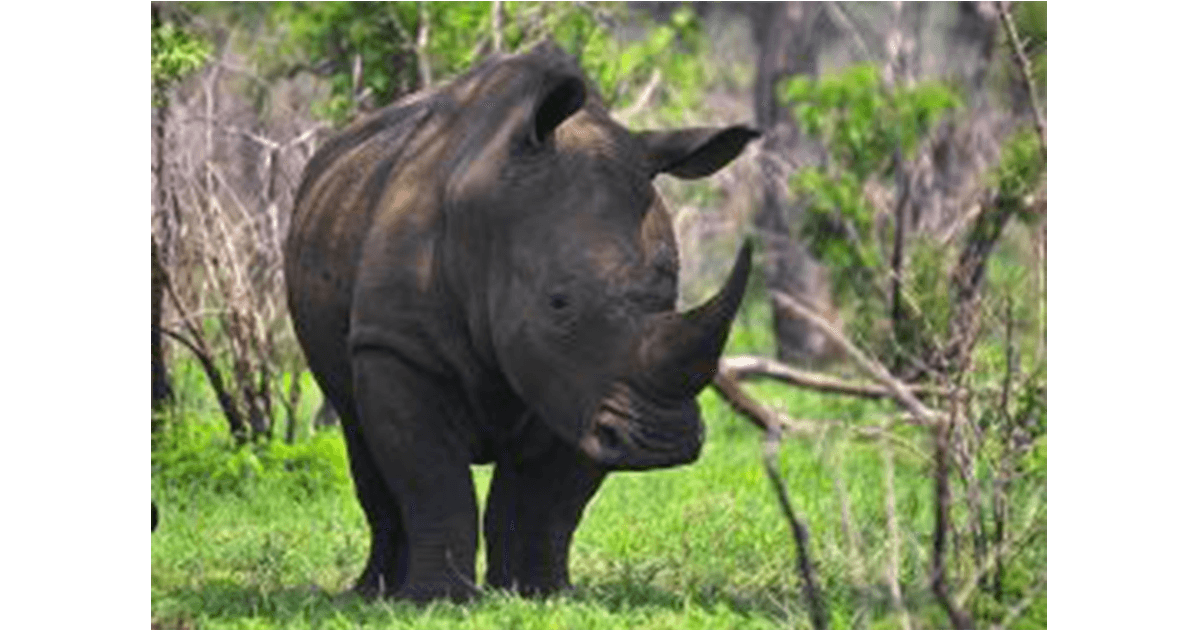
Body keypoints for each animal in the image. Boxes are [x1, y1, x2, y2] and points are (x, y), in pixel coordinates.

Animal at [285, 42, 758, 602]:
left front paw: (537, 593)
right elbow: (432, 480)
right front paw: (437, 600)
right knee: (358, 433)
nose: (664, 442)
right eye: (558, 303)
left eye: (671, 291)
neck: (490, 214)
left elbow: (545, 502)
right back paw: (371, 593)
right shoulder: (399, 346)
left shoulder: (582, 386)